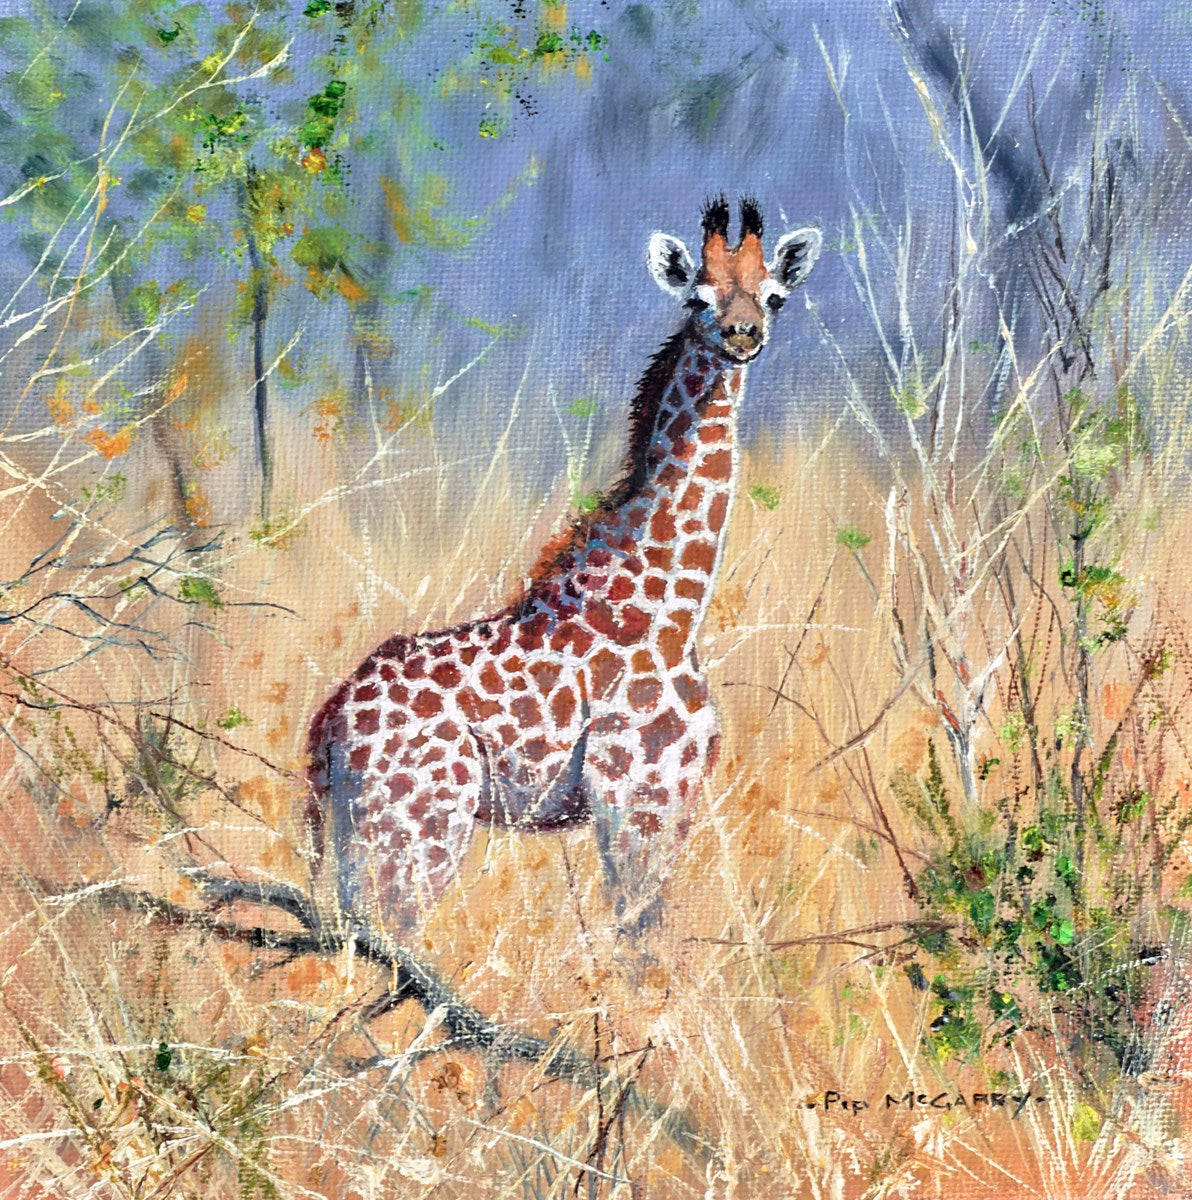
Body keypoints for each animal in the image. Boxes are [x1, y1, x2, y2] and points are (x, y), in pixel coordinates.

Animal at [307, 196, 821, 934]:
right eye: (697, 299)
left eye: (775, 295)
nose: (743, 334)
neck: (672, 605)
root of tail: (326, 726)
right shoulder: (639, 799)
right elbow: (642, 948)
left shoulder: (669, 807)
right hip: (418, 832)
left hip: (360, 838)